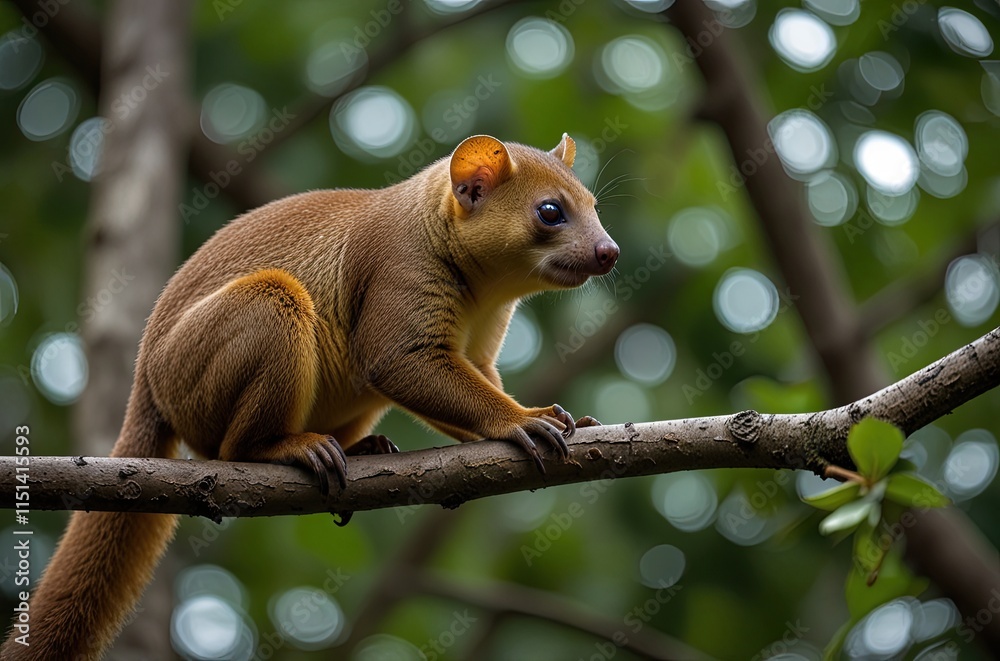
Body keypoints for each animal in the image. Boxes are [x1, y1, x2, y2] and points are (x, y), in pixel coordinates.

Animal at [1, 133, 619, 660]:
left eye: (594, 204)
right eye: (550, 211)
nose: (610, 250)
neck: (485, 295)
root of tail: (145, 382)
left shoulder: (482, 350)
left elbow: (480, 387)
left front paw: (571, 419)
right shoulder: (398, 322)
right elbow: (451, 387)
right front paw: (527, 421)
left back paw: (365, 449)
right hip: (269, 306)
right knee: (229, 451)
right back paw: (296, 448)